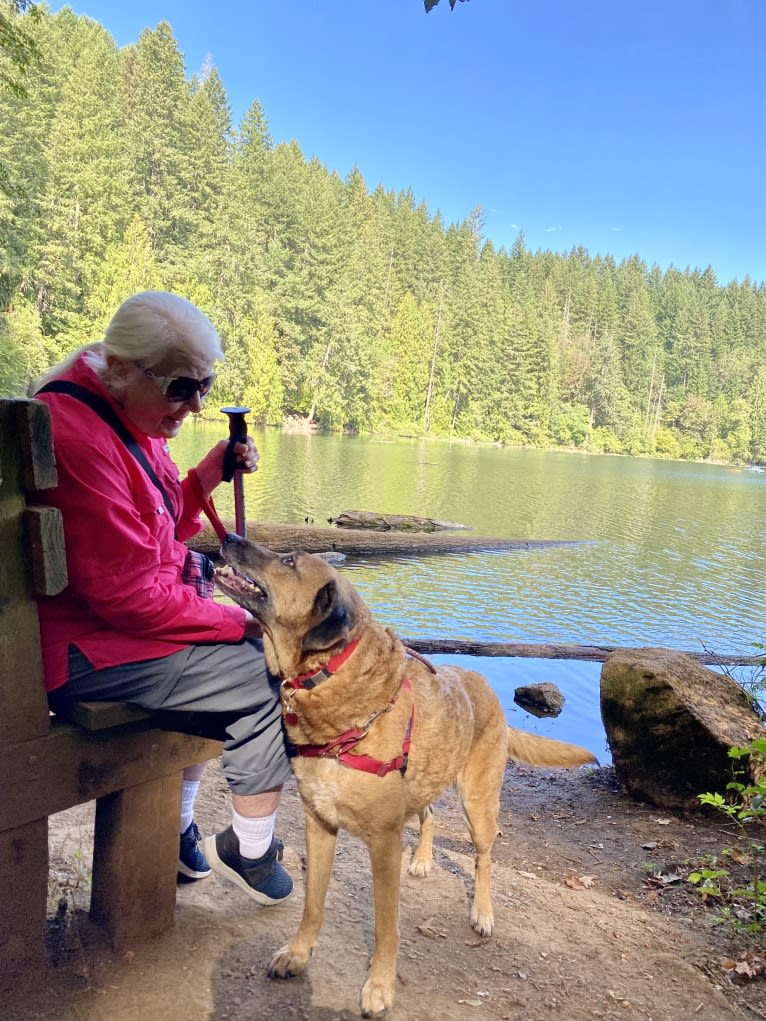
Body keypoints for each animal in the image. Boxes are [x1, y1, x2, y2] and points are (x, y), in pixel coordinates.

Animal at [216, 539, 600, 1016]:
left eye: (289, 561)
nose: (230, 538)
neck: (330, 684)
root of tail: (486, 687)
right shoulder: (318, 825)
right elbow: (313, 904)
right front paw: (299, 953)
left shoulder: (384, 842)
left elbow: (386, 926)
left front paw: (379, 987)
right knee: (430, 815)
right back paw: (422, 859)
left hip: (478, 804)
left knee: (484, 857)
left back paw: (483, 911)